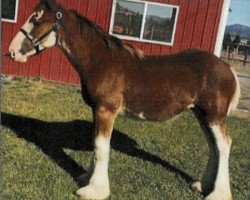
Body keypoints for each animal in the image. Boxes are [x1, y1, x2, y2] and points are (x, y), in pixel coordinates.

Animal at [8, 0, 240, 199]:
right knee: (214, 147)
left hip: (214, 116)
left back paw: (217, 194)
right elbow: (96, 144)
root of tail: (228, 69)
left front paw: (94, 190)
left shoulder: (105, 110)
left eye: (36, 19)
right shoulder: (97, 111)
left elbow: (101, 148)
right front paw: (86, 179)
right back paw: (203, 185)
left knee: (224, 145)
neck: (101, 61)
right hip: (202, 115)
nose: (12, 51)